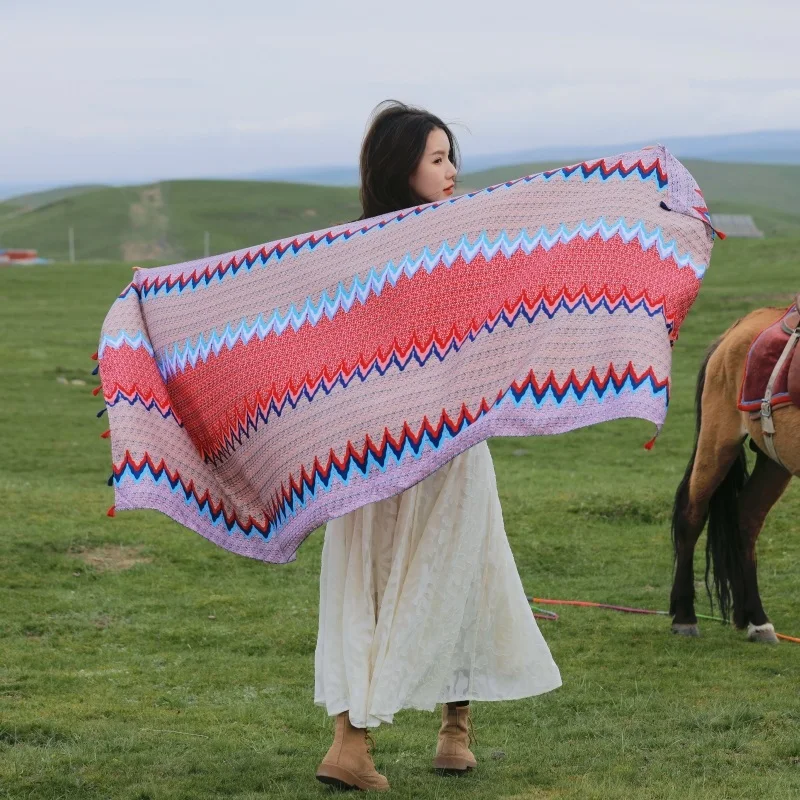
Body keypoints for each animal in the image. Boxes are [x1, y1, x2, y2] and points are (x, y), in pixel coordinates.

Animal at [668, 304, 800, 640]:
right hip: (718, 440)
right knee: (692, 514)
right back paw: (685, 616)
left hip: (775, 461)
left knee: (746, 517)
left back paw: (756, 618)